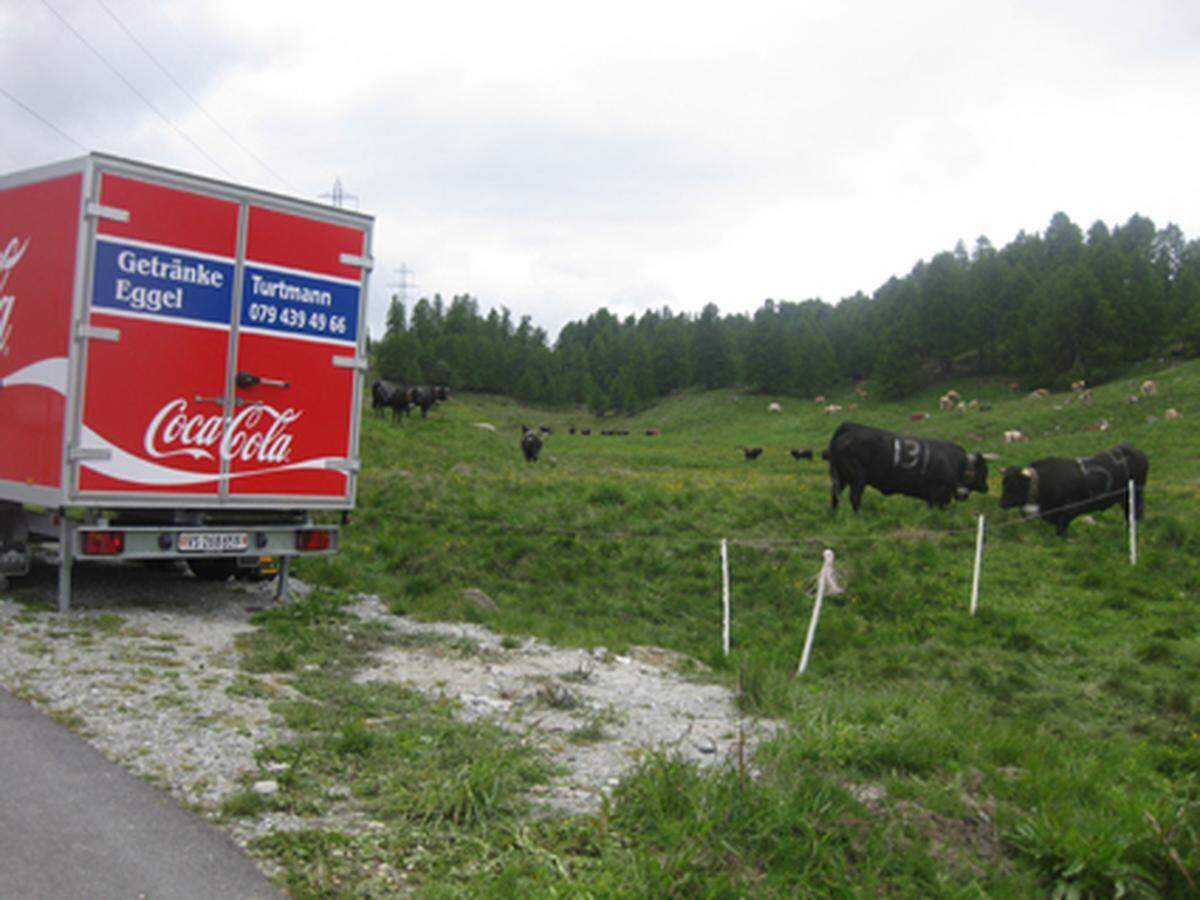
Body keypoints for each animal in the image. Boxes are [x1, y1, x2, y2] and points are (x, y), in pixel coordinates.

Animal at [825, 424, 993, 511]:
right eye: (983, 471)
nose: (986, 487)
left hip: (842, 477)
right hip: (857, 478)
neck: (956, 462)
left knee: (835, 494)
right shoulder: (937, 493)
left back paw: (835, 513)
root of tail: (850, 428)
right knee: (854, 497)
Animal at [998, 441, 1147, 535]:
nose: (1002, 503)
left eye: (1014, 484)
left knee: (1135, 513)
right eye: (1003, 482)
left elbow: (1062, 531)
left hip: (1136, 493)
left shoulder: (1069, 512)